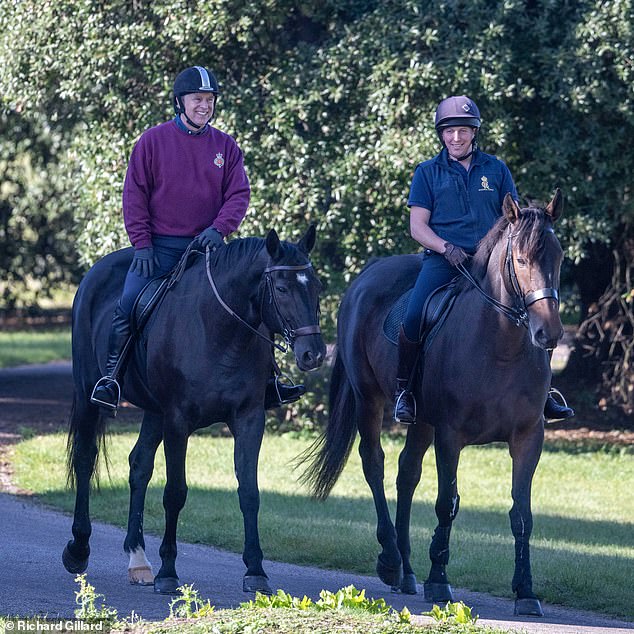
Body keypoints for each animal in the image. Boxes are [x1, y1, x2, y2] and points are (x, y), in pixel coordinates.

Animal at [61, 226, 324, 592]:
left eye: (316, 287)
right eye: (282, 288)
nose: (314, 353)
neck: (219, 329)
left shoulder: (249, 419)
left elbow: (250, 493)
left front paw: (255, 569)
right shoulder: (177, 420)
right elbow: (175, 493)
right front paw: (168, 571)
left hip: (154, 411)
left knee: (139, 465)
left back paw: (138, 559)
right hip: (91, 397)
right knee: (86, 460)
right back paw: (79, 549)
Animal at [302, 191, 564, 612]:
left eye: (557, 257)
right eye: (521, 259)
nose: (549, 333)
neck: (500, 346)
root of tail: (366, 275)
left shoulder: (528, 437)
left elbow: (521, 513)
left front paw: (525, 591)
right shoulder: (450, 435)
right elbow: (447, 503)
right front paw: (439, 580)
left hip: (421, 421)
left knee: (406, 473)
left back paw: (407, 571)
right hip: (369, 400)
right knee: (374, 464)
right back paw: (391, 560)